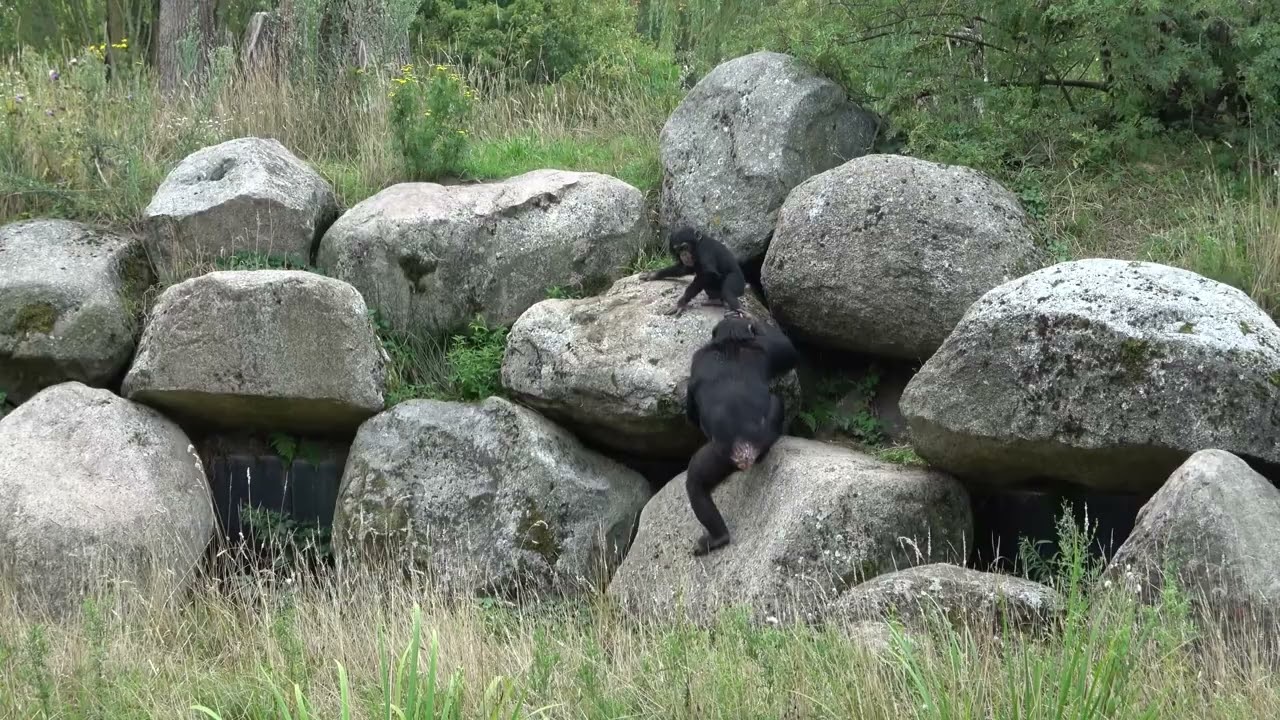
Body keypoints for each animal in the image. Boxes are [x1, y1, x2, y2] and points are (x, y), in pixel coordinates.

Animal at [683, 313, 798, 556]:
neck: (731, 342)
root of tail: (745, 449)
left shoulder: (697, 358)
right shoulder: (767, 348)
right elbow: (788, 349)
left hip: (721, 455)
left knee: (695, 482)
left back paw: (717, 538)